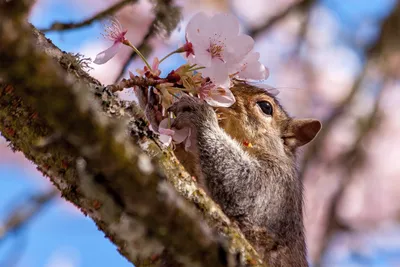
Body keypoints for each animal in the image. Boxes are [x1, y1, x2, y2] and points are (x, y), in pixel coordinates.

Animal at [139, 80, 320, 266]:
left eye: (266, 107)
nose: (208, 84)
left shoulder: (277, 185)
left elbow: (241, 186)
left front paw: (201, 115)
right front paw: (154, 110)